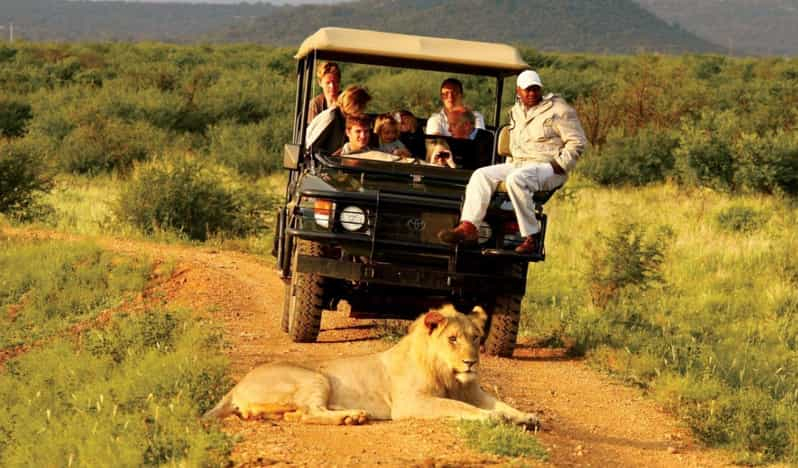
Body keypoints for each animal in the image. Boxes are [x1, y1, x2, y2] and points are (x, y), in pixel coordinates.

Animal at [203, 306, 544, 426]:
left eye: (475, 337)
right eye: (452, 339)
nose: (471, 362)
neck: (449, 375)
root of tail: (236, 385)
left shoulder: (474, 392)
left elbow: (500, 403)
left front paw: (525, 416)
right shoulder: (411, 403)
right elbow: (464, 408)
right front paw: (495, 418)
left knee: (297, 414)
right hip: (316, 378)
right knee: (310, 412)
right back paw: (352, 416)